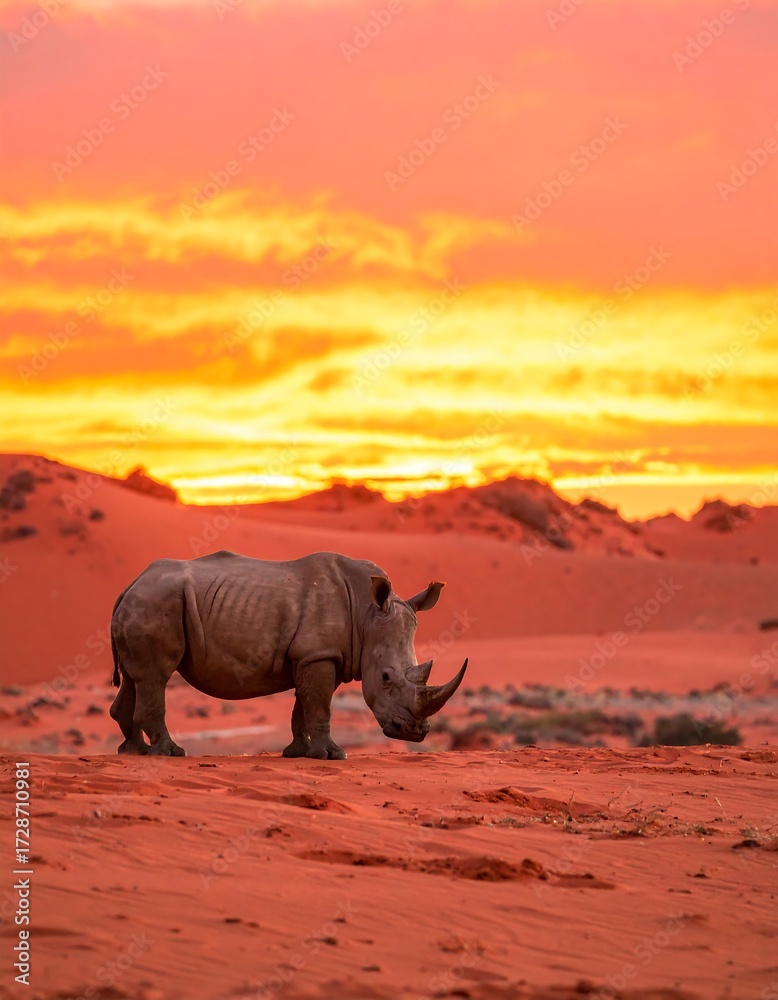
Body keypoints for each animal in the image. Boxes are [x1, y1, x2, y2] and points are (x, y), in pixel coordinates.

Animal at [109, 550, 468, 759]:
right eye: (385, 678)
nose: (414, 734)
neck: (367, 613)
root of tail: (130, 585)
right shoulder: (319, 654)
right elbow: (319, 705)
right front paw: (331, 755)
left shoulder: (318, 654)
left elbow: (304, 705)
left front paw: (298, 752)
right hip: (156, 601)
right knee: (156, 676)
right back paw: (169, 753)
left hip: (147, 601)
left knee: (134, 678)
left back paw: (133, 752)